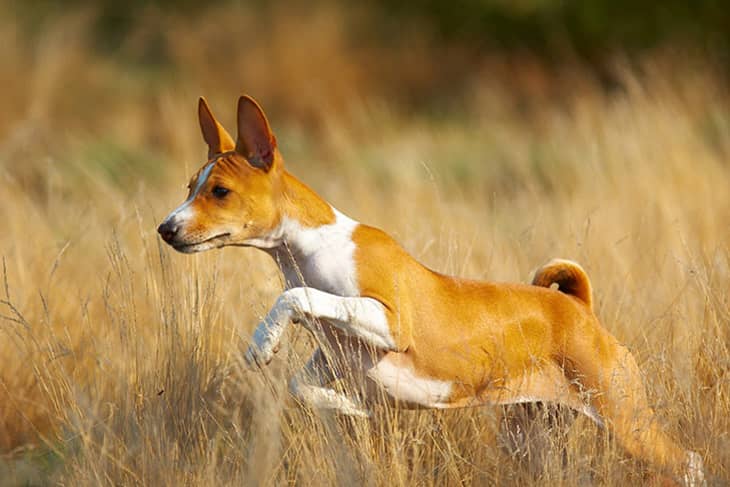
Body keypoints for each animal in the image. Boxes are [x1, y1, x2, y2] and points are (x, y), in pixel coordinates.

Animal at [156, 96, 704, 487]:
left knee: (691, 463)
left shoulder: (390, 321)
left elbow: (297, 299)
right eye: (189, 187)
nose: (166, 228)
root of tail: (578, 307)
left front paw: (262, 340)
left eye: (220, 192)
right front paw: (351, 408)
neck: (309, 251)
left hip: (626, 420)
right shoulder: (333, 359)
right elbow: (303, 386)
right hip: (532, 437)